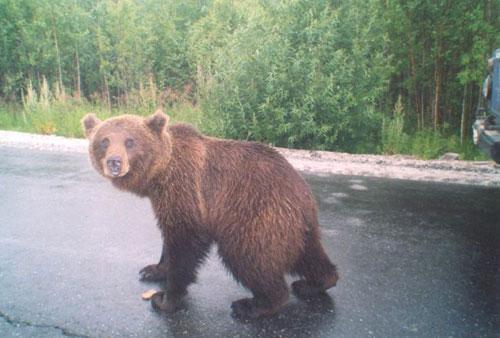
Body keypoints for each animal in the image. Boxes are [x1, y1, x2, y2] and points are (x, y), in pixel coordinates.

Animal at [83, 111, 340, 320]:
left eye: (130, 141)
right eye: (104, 141)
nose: (114, 162)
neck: (159, 176)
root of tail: (301, 190)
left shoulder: (186, 190)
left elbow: (186, 242)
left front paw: (165, 299)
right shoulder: (166, 200)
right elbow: (169, 236)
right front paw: (152, 269)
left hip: (256, 214)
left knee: (247, 256)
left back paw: (254, 305)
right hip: (296, 224)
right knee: (308, 254)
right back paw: (314, 283)